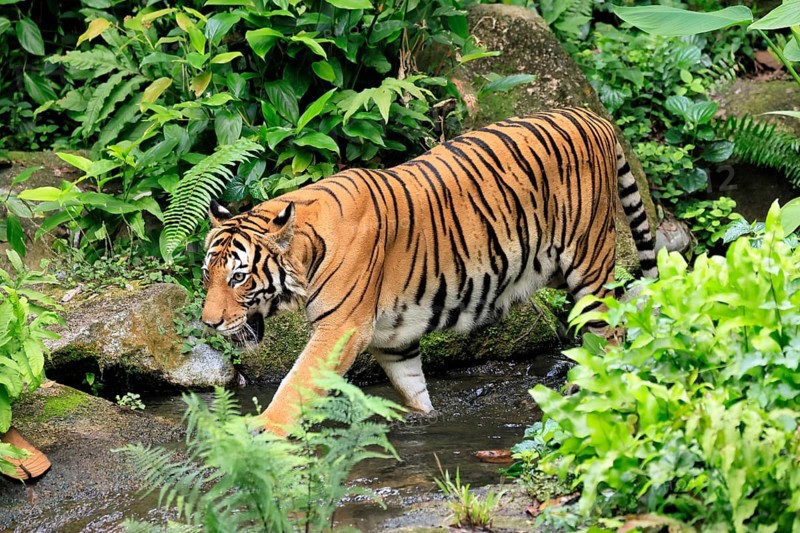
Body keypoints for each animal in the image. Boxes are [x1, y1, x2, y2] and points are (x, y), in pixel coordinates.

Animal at [200, 107, 658, 434]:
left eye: (239, 277)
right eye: (208, 276)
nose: (208, 323)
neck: (307, 251)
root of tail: (594, 117)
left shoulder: (341, 328)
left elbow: (297, 381)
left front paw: (264, 429)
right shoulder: (393, 338)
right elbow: (412, 388)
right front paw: (421, 421)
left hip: (588, 266)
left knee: (611, 332)